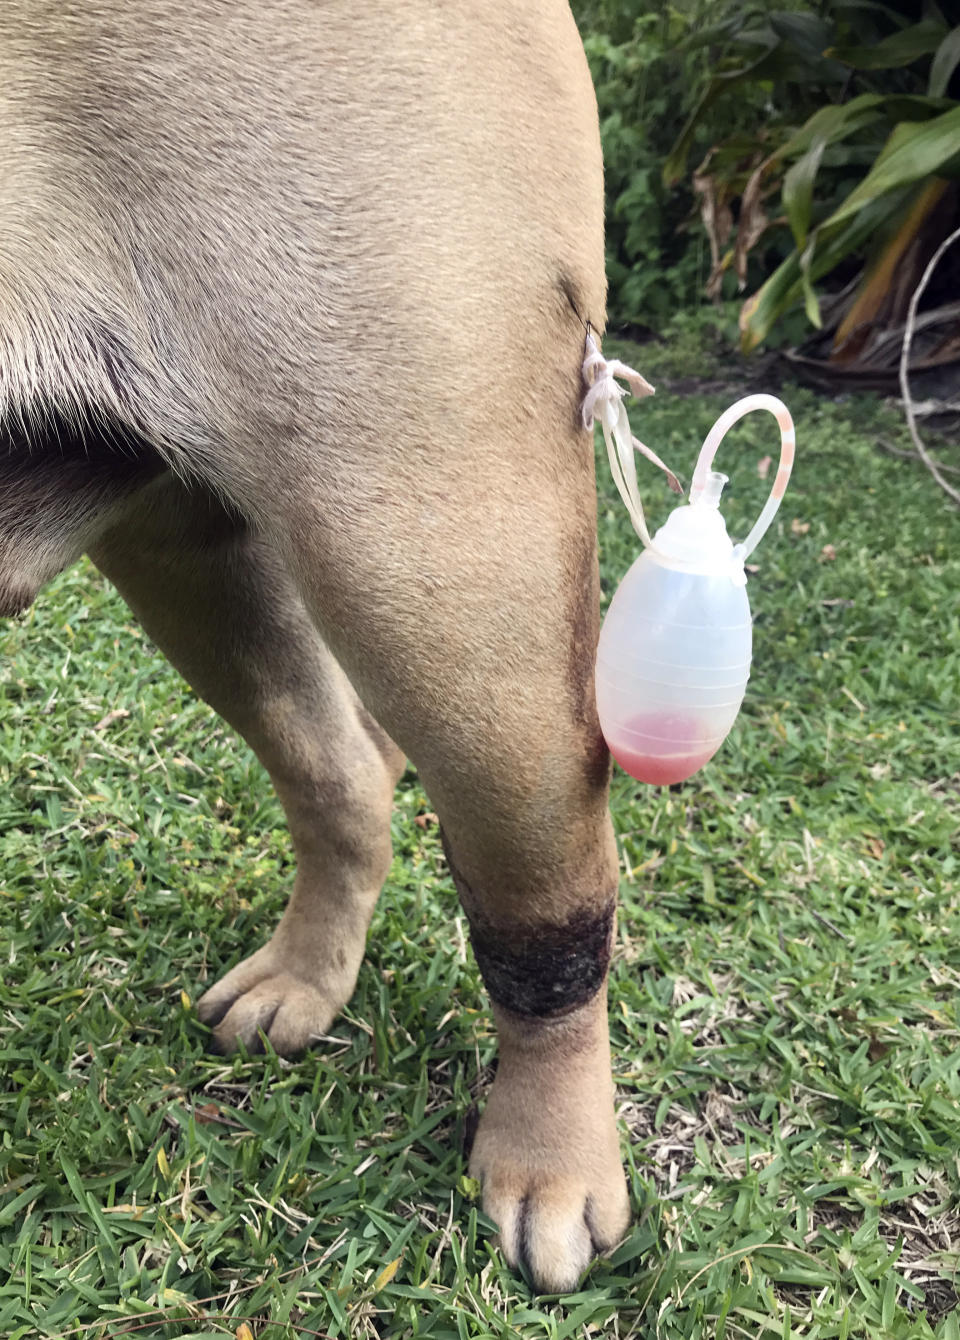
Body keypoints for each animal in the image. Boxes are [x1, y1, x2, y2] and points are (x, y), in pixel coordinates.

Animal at [1, 2, 630, 1297]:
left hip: (423, 553)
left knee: (547, 909)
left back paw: (551, 1159)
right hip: (189, 543)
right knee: (342, 768)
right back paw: (304, 979)